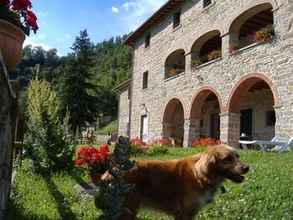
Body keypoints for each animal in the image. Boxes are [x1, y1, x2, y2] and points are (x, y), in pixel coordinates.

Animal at [118, 144, 249, 220]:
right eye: (227, 158)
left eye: (238, 156)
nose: (247, 167)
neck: (199, 175)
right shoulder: (185, 213)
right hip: (129, 210)